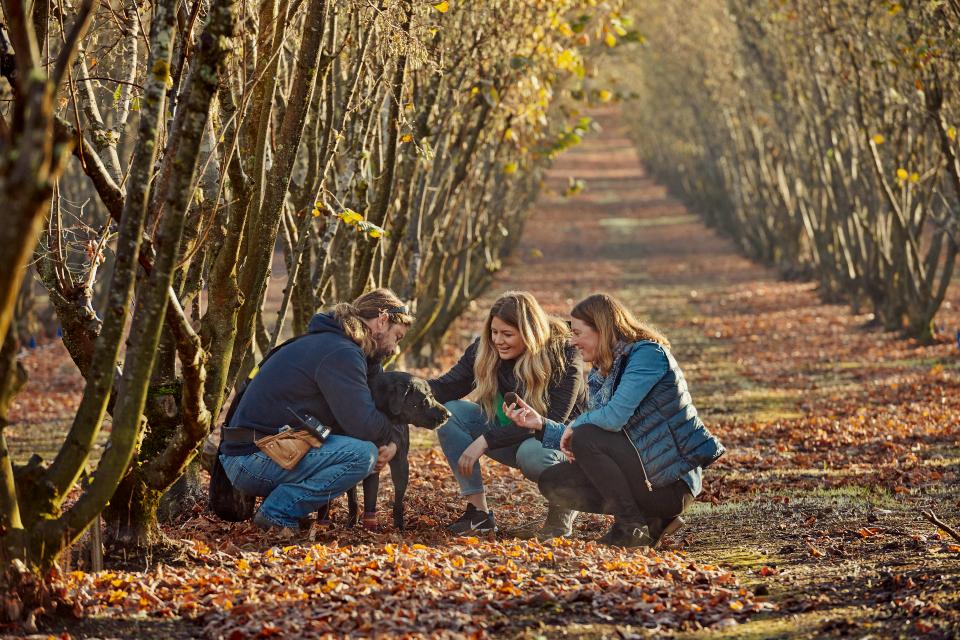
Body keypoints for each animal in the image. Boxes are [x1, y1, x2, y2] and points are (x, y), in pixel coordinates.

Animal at [318, 370, 446, 528]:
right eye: (427, 398)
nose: (448, 415)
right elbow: (351, 498)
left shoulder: (389, 462)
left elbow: (376, 498)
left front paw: (373, 527)